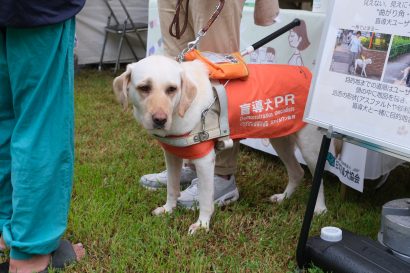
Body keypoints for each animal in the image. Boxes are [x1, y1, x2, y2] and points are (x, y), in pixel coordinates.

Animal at [113, 55, 326, 234]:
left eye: (171, 89)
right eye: (144, 88)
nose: (160, 120)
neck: (182, 107)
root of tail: (308, 73)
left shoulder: (205, 160)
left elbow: (206, 198)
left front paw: (202, 225)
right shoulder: (172, 155)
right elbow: (172, 188)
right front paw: (168, 209)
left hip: (310, 148)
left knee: (317, 177)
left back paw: (320, 209)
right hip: (279, 139)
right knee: (297, 172)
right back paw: (283, 198)